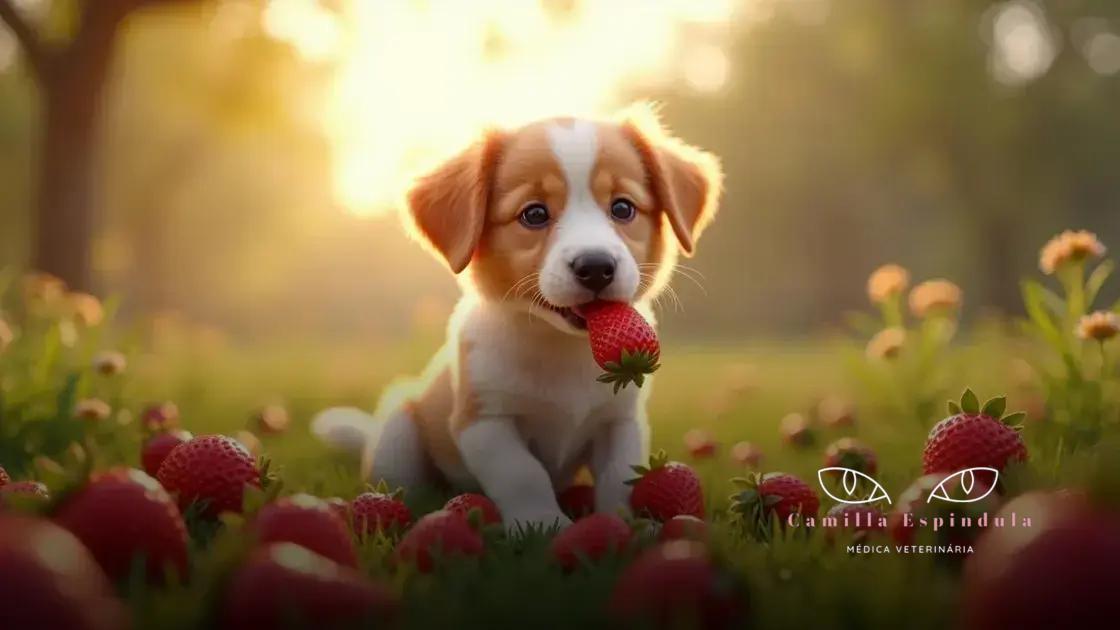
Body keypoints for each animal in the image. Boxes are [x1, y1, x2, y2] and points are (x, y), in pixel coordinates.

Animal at [311, 105, 721, 526]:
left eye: (623, 208)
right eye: (534, 214)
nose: (595, 266)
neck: (559, 345)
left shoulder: (620, 421)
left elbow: (619, 477)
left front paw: (625, 525)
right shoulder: (485, 421)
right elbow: (523, 474)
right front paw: (542, 523)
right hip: (399, 432)